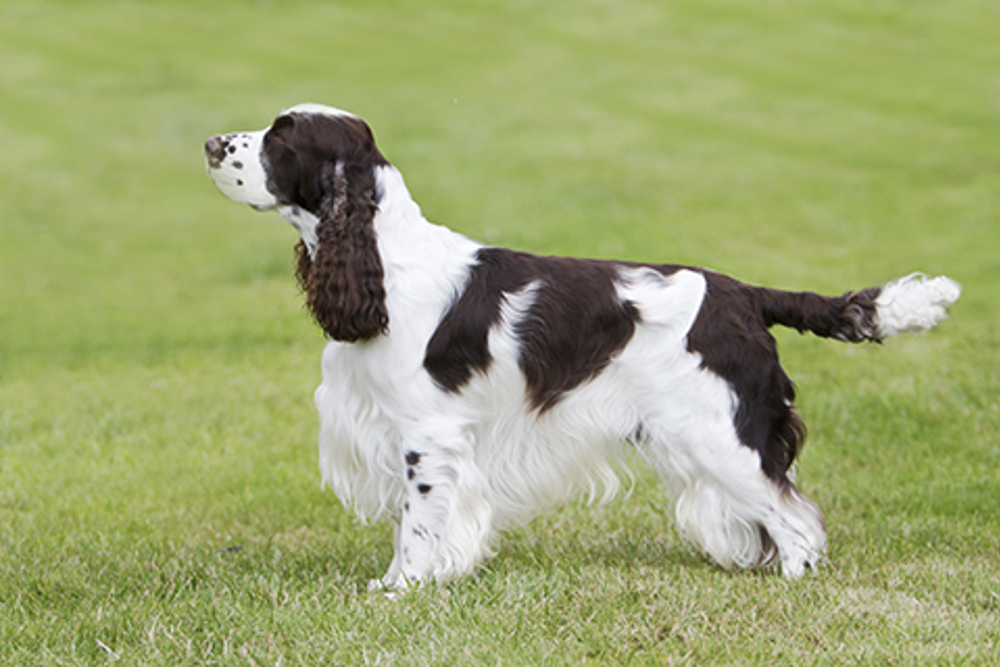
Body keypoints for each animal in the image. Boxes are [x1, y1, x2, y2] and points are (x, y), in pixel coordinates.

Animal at [205, 104, 960, 588]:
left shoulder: (427, 433)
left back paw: (794, 581)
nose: (212, 143)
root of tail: (744, 294)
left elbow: (416, 523)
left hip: (722, 433)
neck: (385, 262)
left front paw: (400, 589)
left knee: (797, 518)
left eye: (283, 137)